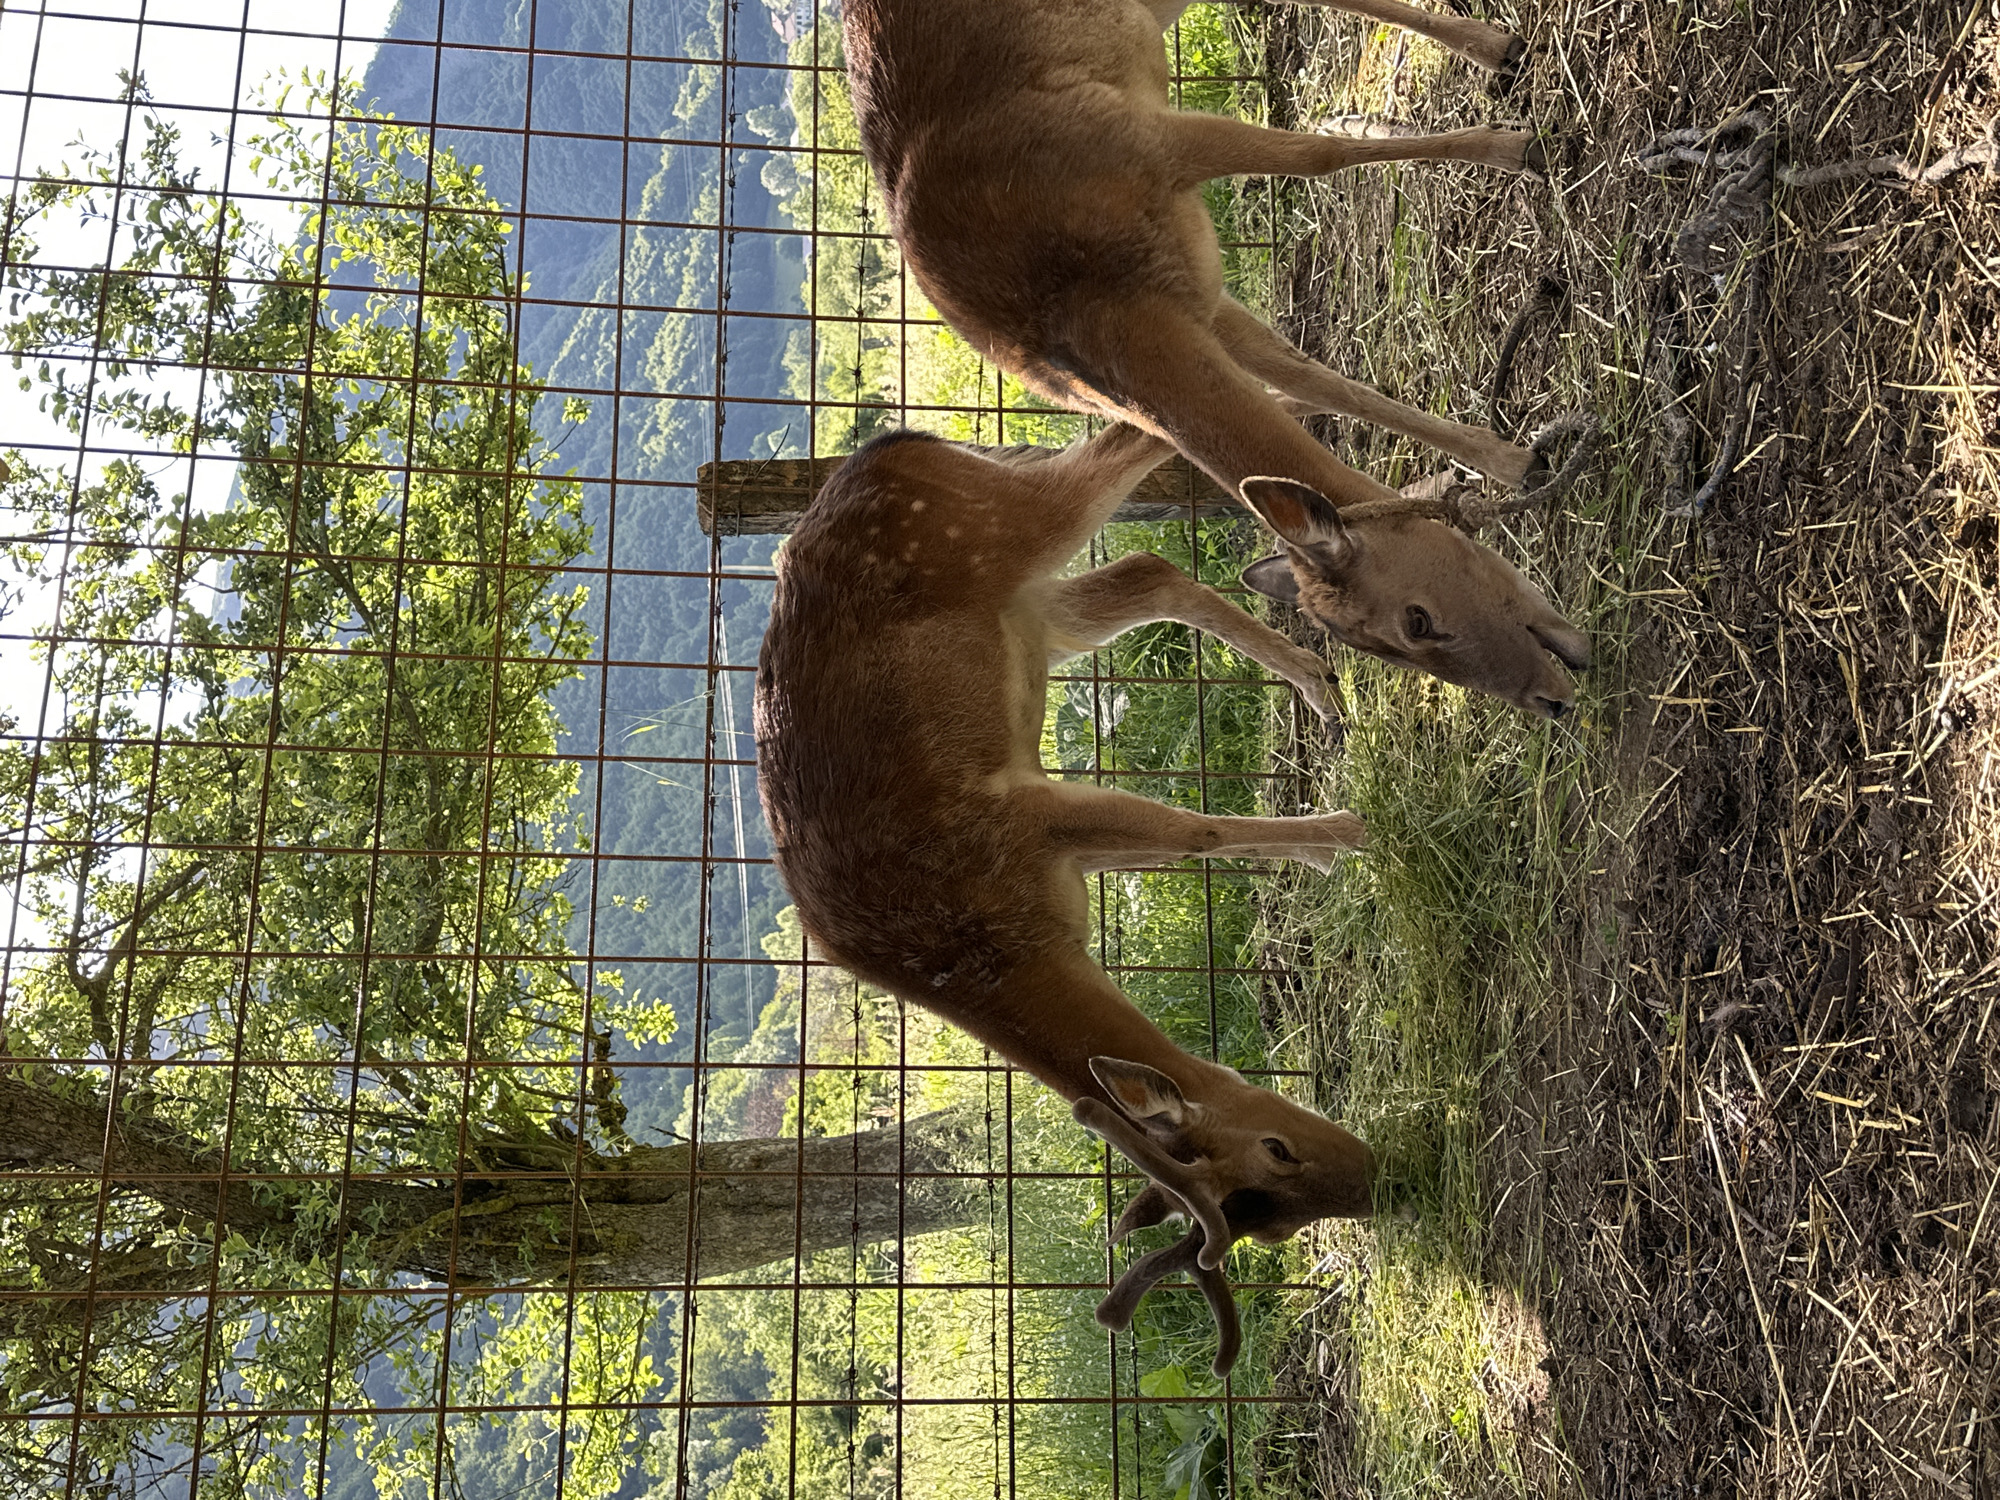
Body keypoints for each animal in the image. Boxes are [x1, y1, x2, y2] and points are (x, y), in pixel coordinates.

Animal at [755, 421, 1383, 1375]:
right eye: (1270, 1199)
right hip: (1033, 614)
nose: (1378, 1181)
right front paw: (1333, 849)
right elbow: (1186, 840)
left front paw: (1357, 833)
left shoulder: (1028, 820)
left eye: (1273, 1156)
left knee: (1121, 456)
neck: (992, 949)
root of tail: (883, 450)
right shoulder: (1051, 845)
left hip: (1004, 527)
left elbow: (1191, 835)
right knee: (1146, 567)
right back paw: (1315, 676)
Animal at [842, 0, 1593, 718]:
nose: (1551, 700)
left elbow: (1314, 159)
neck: (1084, 304)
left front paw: (1519, 145)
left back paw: (1500, 52)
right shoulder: (1199, 302)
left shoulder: (1156, 138)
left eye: (1416, 618)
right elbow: (1310, 375)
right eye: (1379, 648)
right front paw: (1508, 459)